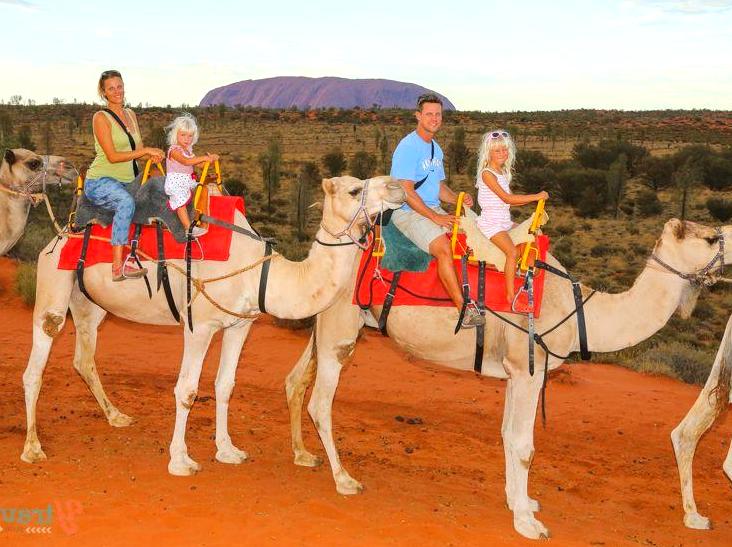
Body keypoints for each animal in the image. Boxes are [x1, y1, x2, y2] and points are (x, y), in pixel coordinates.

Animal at [21, 176, 406, 476]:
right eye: (354, 190)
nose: (399, 187)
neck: (260, 272)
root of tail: (58, 235)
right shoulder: (200, 325)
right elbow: (187, 389)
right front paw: (180, 460)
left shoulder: (240, 324)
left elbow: (225, 385)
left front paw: (227, 450)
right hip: (53, 285)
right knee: (36, 364)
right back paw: (33, 447)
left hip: (89, 304)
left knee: (83, 358)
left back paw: (116, 416)